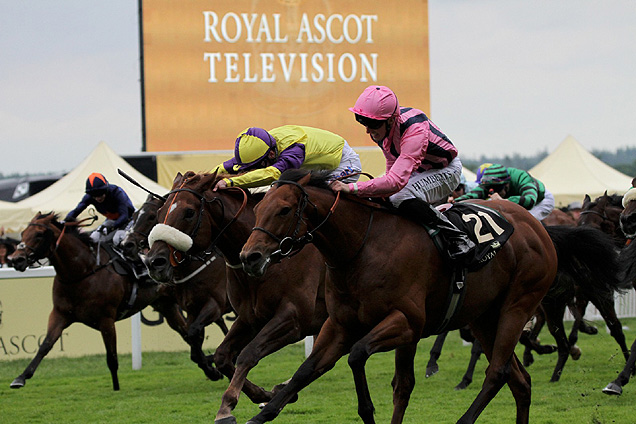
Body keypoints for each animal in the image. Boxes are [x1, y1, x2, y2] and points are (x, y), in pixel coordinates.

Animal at [6, 214, 196, 390]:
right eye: (23, 233)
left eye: (39, 234)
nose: (16, 259)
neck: (82, 272)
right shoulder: (60, 314)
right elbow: (45, 345)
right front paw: (21, 377)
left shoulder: (106, 319)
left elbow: (111, 357)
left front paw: (116, 388)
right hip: (165, 305)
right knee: (185, 332)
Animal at [120, 195, 232, 380]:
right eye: (134, 215)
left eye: (152, 216)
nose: (126, 245)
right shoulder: (191, 309)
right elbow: (192, 337)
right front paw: (211, 368)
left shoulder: (215, 304)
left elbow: (193, 332)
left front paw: (212, 364)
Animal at [143, 172, 328, 424]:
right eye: (160, 212)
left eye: (189, 212)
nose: (154, 262)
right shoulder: (250, 318)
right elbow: (223, 356)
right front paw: (263, 394)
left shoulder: (294, 319)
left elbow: (249, 353)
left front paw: (227, 408)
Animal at [241, 169, 560, 424]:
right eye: (259, 209)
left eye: (284, 210)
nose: (249, 257)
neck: (363, 247)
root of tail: (536, 226)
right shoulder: (340, 325)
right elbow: (305, 371)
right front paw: (260, 413)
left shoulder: (406, 322)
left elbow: (358, 355)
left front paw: (368, 411)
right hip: (483, 317)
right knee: (520, 381)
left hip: (516, 306)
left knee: (497, 373)